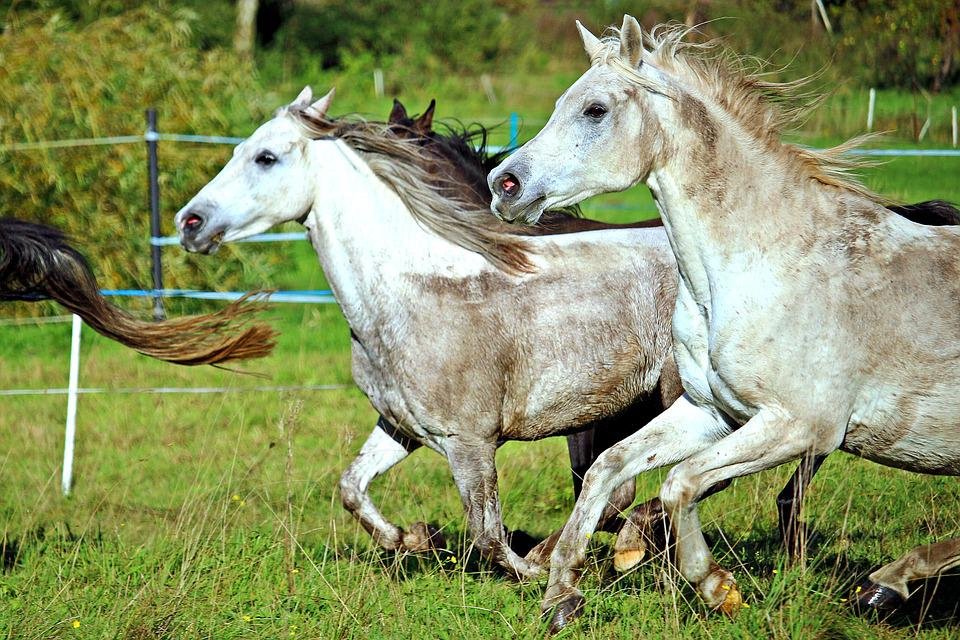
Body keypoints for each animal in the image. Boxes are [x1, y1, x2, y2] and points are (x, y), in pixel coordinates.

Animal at [488, 15, 960, 628]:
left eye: (594, 110)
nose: (504, 185)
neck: (762, 264)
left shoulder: (799, 427)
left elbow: (679, 483)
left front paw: (716, 587)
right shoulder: (712, 412)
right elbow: (607, 468)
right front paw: (561, 594)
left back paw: (886, 583)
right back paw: (887, 584)